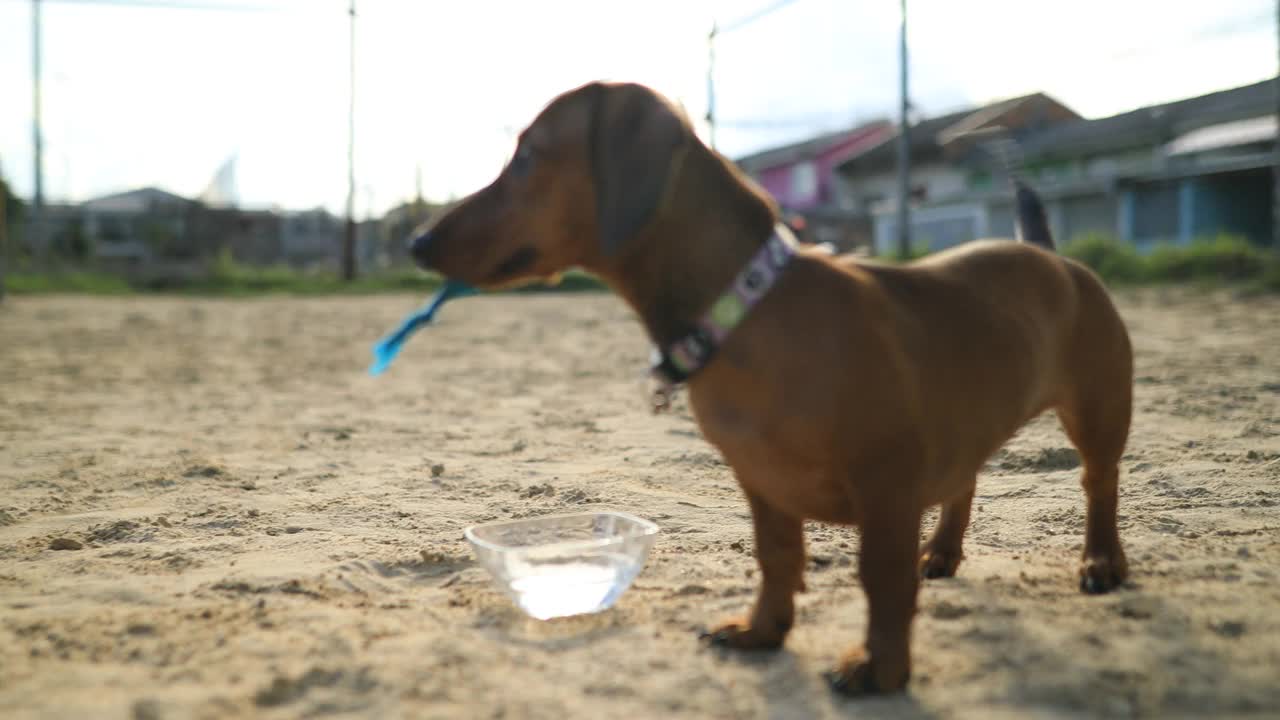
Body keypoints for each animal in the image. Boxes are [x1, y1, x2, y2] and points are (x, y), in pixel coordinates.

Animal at [412, 81, 1131, 691]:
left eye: (527, 157)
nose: (417, 240)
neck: (749, 309)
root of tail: (1051, 254)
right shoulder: (760, 481)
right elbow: (777, 556)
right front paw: (764, 630)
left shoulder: (887, 487)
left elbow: (881, 581)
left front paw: (880, 667)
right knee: (966, 482)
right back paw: (943, 552)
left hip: (1098, 413)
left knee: (1098, 485)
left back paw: (1101, 562)